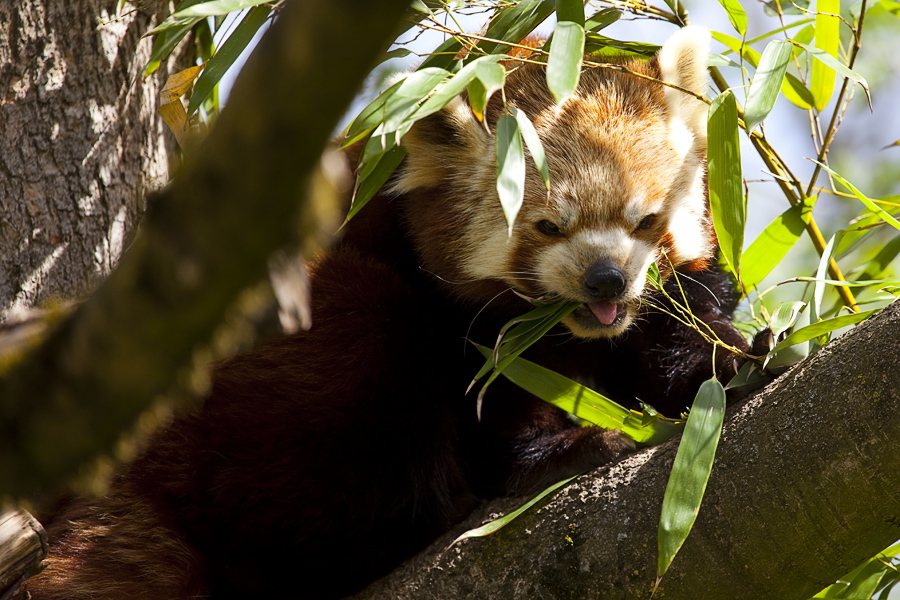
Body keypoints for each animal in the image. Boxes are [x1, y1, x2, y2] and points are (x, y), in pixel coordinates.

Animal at [26, 25, 744, 596]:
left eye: (645, 220)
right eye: (546, 227)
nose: (605, 281)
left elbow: (674, 327)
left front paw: (726, 361)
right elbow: (495, 394)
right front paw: (557, 450)